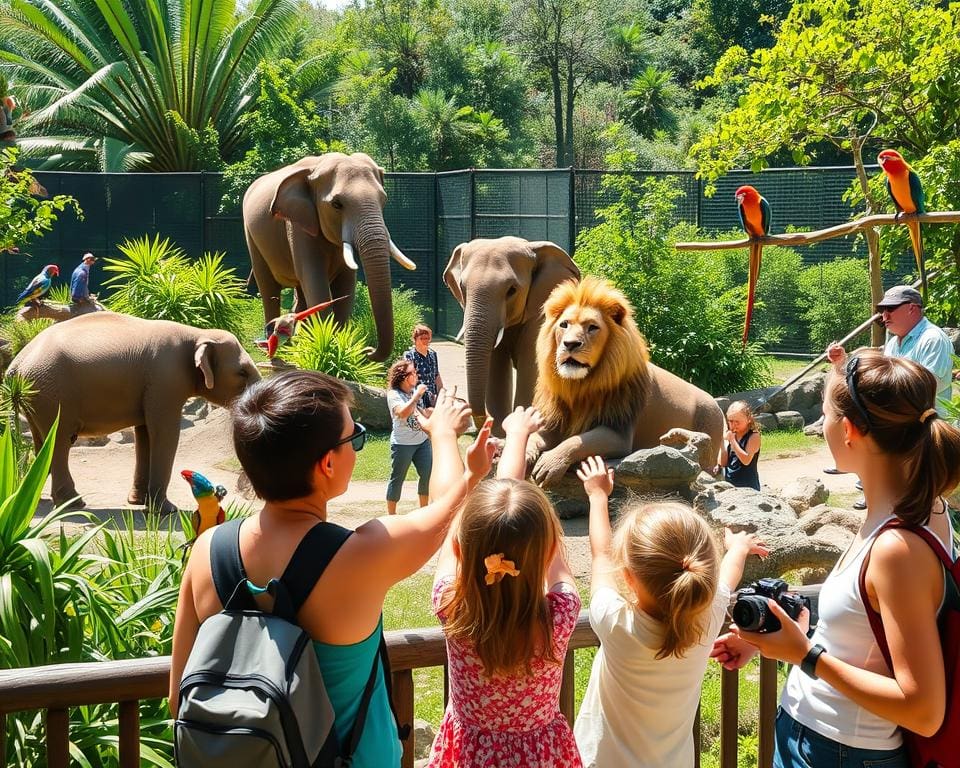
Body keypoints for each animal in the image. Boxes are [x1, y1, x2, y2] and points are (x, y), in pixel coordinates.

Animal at [9, 312, 262, 516]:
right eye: (242, 372)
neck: (198, 333)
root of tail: (16, 364)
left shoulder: (152, 387)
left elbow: (145, 434)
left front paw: (139, 501)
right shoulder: (165, 380)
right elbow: (164, 432)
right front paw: (166, 510)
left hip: (37, 397)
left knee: (41, 440)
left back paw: (36, 498)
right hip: (53, 394)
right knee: (60, 440)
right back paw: (72, 503)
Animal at [242, 154, 414, 364]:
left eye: (383, 200)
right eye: (337, 205)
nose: (368, 350)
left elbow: (346, 286)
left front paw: (338, 348)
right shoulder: (297, 226)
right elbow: (316, 284)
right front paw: (327, 348)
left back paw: (295, 345)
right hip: (252, 237)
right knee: (268, 288)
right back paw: (274, 352)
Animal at [442, 237, 576, 436]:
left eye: (511, 290)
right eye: (462, 288)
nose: (461, 402)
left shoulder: (539, 317)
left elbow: (529, 363)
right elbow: (495, 362)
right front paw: (501, 432)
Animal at [528, 278, 724, 486]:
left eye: (592, 327)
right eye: (564, 325)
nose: (570, 344)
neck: (579, 385)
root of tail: (715, 403)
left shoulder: (619, 431)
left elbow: (576, 441)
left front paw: (550, 463)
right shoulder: (554, 421)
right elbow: (533, 436)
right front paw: (526, 452)